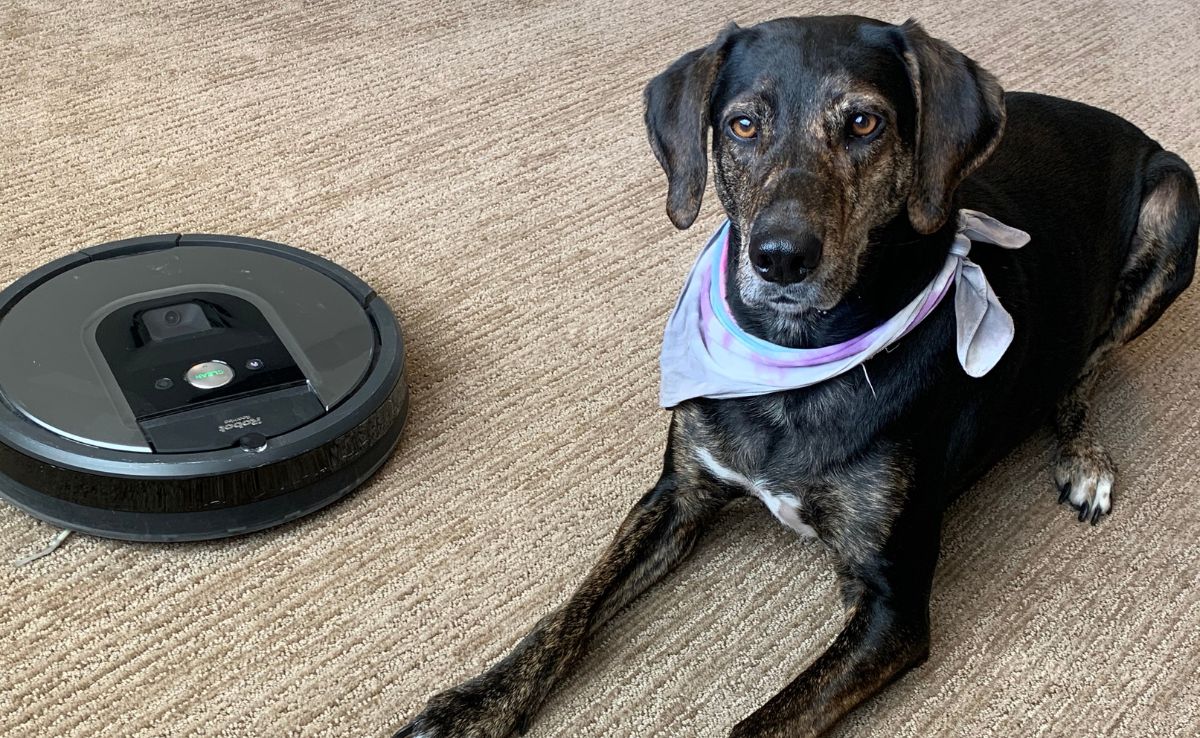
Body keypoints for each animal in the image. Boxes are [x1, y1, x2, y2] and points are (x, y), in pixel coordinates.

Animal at [398, 12, 1195, 738]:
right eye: (743, 124)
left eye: (865, 123)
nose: (780, 257)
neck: (788, 364)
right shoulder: (677, 494)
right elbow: (571, 613)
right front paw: (473, 706)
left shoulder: (890, 601)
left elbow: (762, 724)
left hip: (1174, 207)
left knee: (1090, 363)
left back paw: (1084, 456)